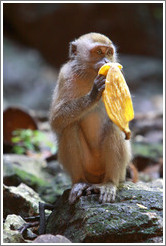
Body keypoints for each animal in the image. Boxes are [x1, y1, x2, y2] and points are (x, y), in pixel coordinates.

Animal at [48, 33, 132, 206]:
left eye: (109, 53)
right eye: (99, 52)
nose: (107, 61)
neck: (89, 74)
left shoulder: (118, 74)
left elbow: (121, 116)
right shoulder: (64, 76)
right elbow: (57, 120)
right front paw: (93, 94)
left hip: (113, 170)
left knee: (113, 126)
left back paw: (109, 183)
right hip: (88, 166)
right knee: (70, 127)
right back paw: (79, 182)